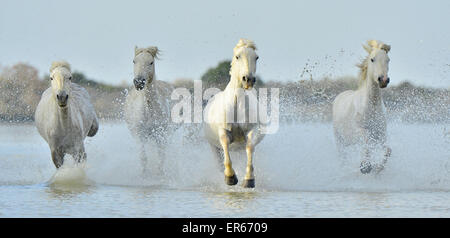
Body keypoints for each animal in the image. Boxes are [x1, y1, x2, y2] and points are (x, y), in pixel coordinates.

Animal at [125, 45, 174, 174]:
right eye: (134, 61)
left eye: (151, 62)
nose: (138, 82)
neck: (149, 110)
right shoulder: (139, 135)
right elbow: (143, 158)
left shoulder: (160, 135)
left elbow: (161, 157)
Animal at [204, 39, 264, 188]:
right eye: (238, 56)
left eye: (256, 57)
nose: (248, 79)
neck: (237, 103)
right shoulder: (223, 131)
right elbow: (226, 146)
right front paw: (230, 177)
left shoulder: (251, 131)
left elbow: (250, 148)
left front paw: (248, 179)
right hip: (213, 146)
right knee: (219, 161)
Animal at [332, 40, 392, 175]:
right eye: (372, 59)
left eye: (388, 60)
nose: (383, 80)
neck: (371, 107)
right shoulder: (359, 131)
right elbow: (366, 140)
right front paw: (365, 167)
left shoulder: (381, 135)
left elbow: (388, 150)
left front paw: (377, 168)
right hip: (340, 141)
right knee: (342, 156)